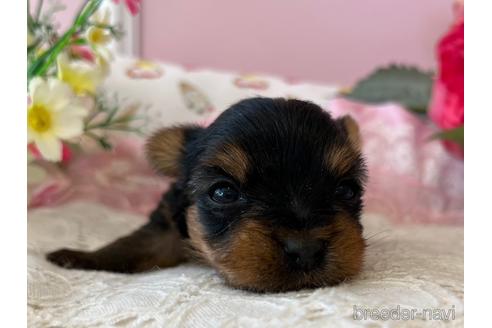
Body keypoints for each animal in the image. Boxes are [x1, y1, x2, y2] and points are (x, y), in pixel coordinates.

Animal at [48, 96, 368, 292]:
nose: (306, 250)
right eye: (224, 193)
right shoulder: (167, 222)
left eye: (346, 190)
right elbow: (133, 245)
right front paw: (77, 257)